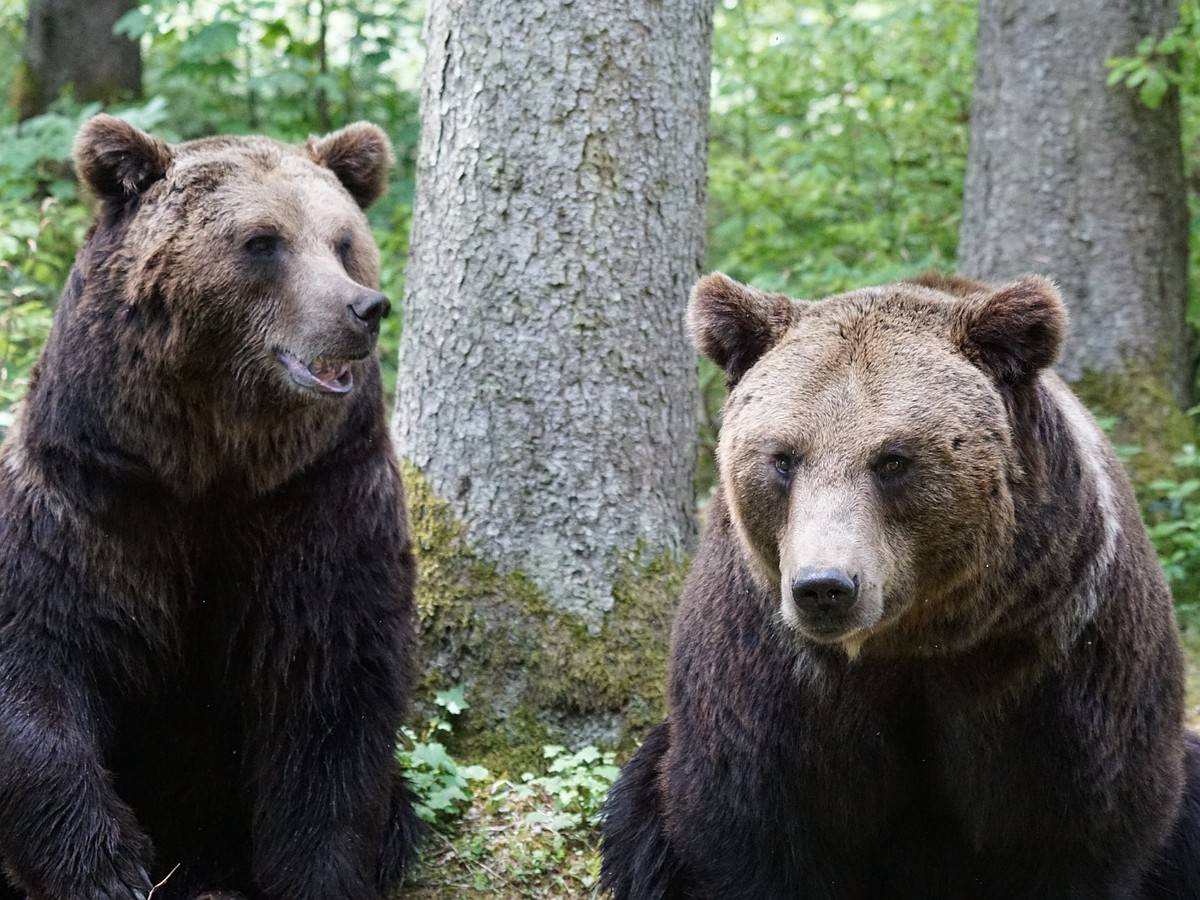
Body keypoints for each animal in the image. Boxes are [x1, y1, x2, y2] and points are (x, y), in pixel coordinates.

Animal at [0, 118, 422, 900]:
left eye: (344, 241)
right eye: (263, 241)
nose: (363, 308)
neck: (212, 462)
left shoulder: (319, 505)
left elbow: (330, 693)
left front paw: (318, 874)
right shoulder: (88, 501)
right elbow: (36, 659)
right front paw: (111, 868)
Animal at [600, 274, 1200, 900]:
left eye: (892, 459)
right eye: (783, 457)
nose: (824, 587)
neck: (914, 639)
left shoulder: (1056, 647)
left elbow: (1078, 823)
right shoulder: (772, 661)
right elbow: (757, 822)